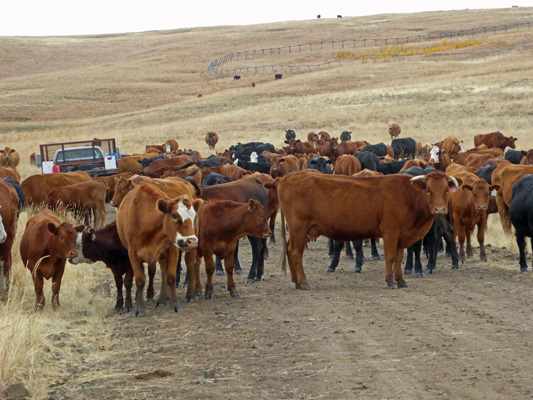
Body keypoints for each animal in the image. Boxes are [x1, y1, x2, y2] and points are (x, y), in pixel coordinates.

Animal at [116, 183, 202, 318]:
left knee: (190, 263)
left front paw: (175, 305)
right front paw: (138, 308)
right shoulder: (132, 254)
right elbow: (140, 280)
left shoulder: (172, 249)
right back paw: (162, 298)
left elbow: (171, 277)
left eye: (193, 217)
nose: (192, 241)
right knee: (163, 270)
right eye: (175, 216)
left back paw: (191, 294)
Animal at [274, 170, 458, 290]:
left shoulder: (401, 236)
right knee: (296, 252)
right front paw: (390, 281)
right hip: (299, 227)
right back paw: (304, 282)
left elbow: (399, 259)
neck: (408, 196)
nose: (440, 209)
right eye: (428, 190)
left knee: (289, 250)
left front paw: (401, 281)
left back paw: (296, 281)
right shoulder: (390, 231)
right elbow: (390, 257)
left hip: (297, 231)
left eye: (446, 190)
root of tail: (288, 177)